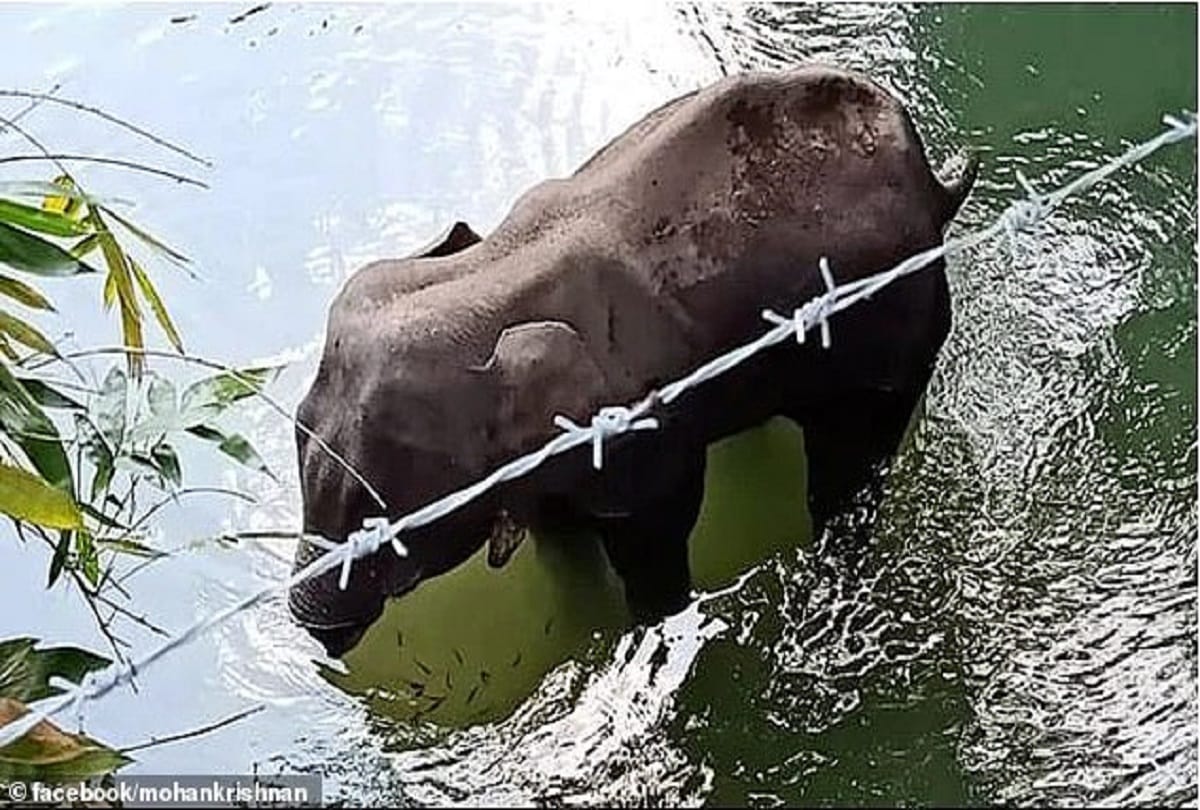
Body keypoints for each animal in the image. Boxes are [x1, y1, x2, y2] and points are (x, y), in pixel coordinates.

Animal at [290, 65, 977, 657]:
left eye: (387, 516)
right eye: (298, 430)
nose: (321, 634)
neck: (492, 275)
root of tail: (934, 183)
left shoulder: (639, 434)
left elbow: (659, 527)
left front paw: (649, 625)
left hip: (897, 325)